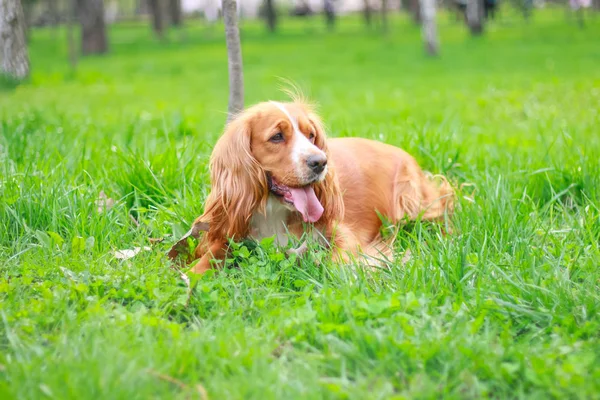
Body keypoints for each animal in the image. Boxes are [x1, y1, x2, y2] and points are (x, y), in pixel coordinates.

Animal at [190, 101, 452, 274]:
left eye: (311, 135)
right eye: (277, 136)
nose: (320, 162)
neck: (275, 211)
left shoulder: (341, 233)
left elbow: (337, 263)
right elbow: (208, 258)